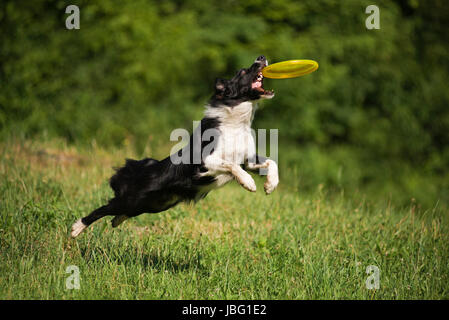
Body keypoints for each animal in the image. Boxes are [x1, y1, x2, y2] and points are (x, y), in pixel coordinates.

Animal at [71, 54, 276, 238]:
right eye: (243, 72)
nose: (261, 57)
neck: (236, 123)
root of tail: (142, 169)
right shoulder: (204, 161)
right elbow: (231, 164)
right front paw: (248, 182)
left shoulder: (248, 160)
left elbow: (271, 162)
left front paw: (270, 186)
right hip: (133, 199)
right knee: (104, 209)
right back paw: (76, 228)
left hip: (155, 205)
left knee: (119, 213)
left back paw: (116, 221)